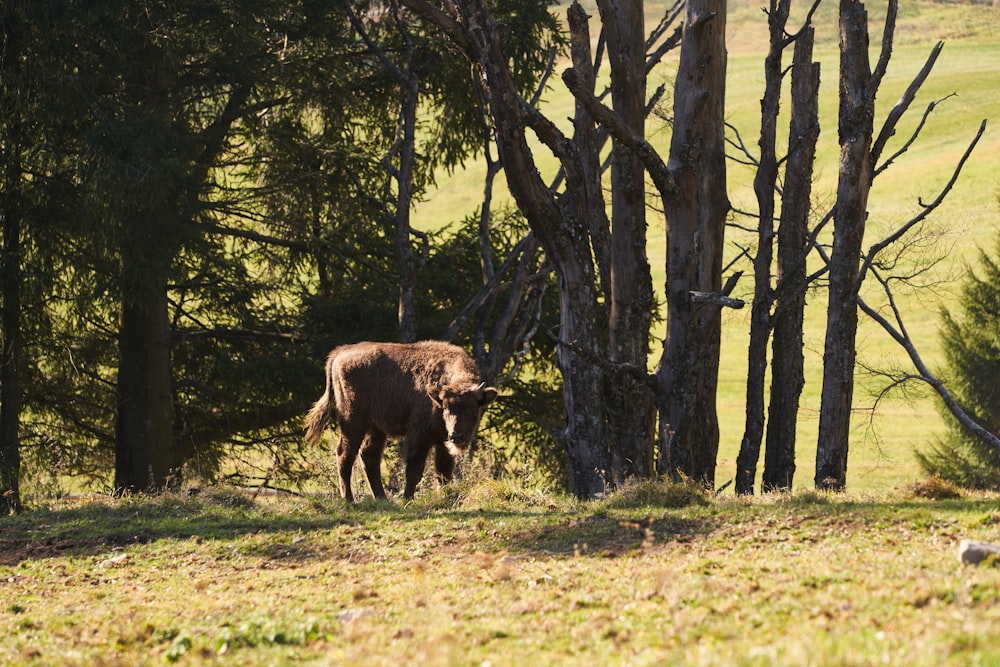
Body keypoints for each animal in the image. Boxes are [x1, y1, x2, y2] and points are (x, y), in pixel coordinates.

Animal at [300, 344, 496, 500]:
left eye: (473, 408)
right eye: (446, 408)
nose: (457, 436)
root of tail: (340, 352)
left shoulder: (442, 441)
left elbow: (443, 471)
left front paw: (445, 497)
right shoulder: (419, 436)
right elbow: (414, 469)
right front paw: (408, 499)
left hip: (375, 428)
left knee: (369, 456)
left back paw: (381, 498)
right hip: (353, 422)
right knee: (345, 454)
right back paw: (349, 499)